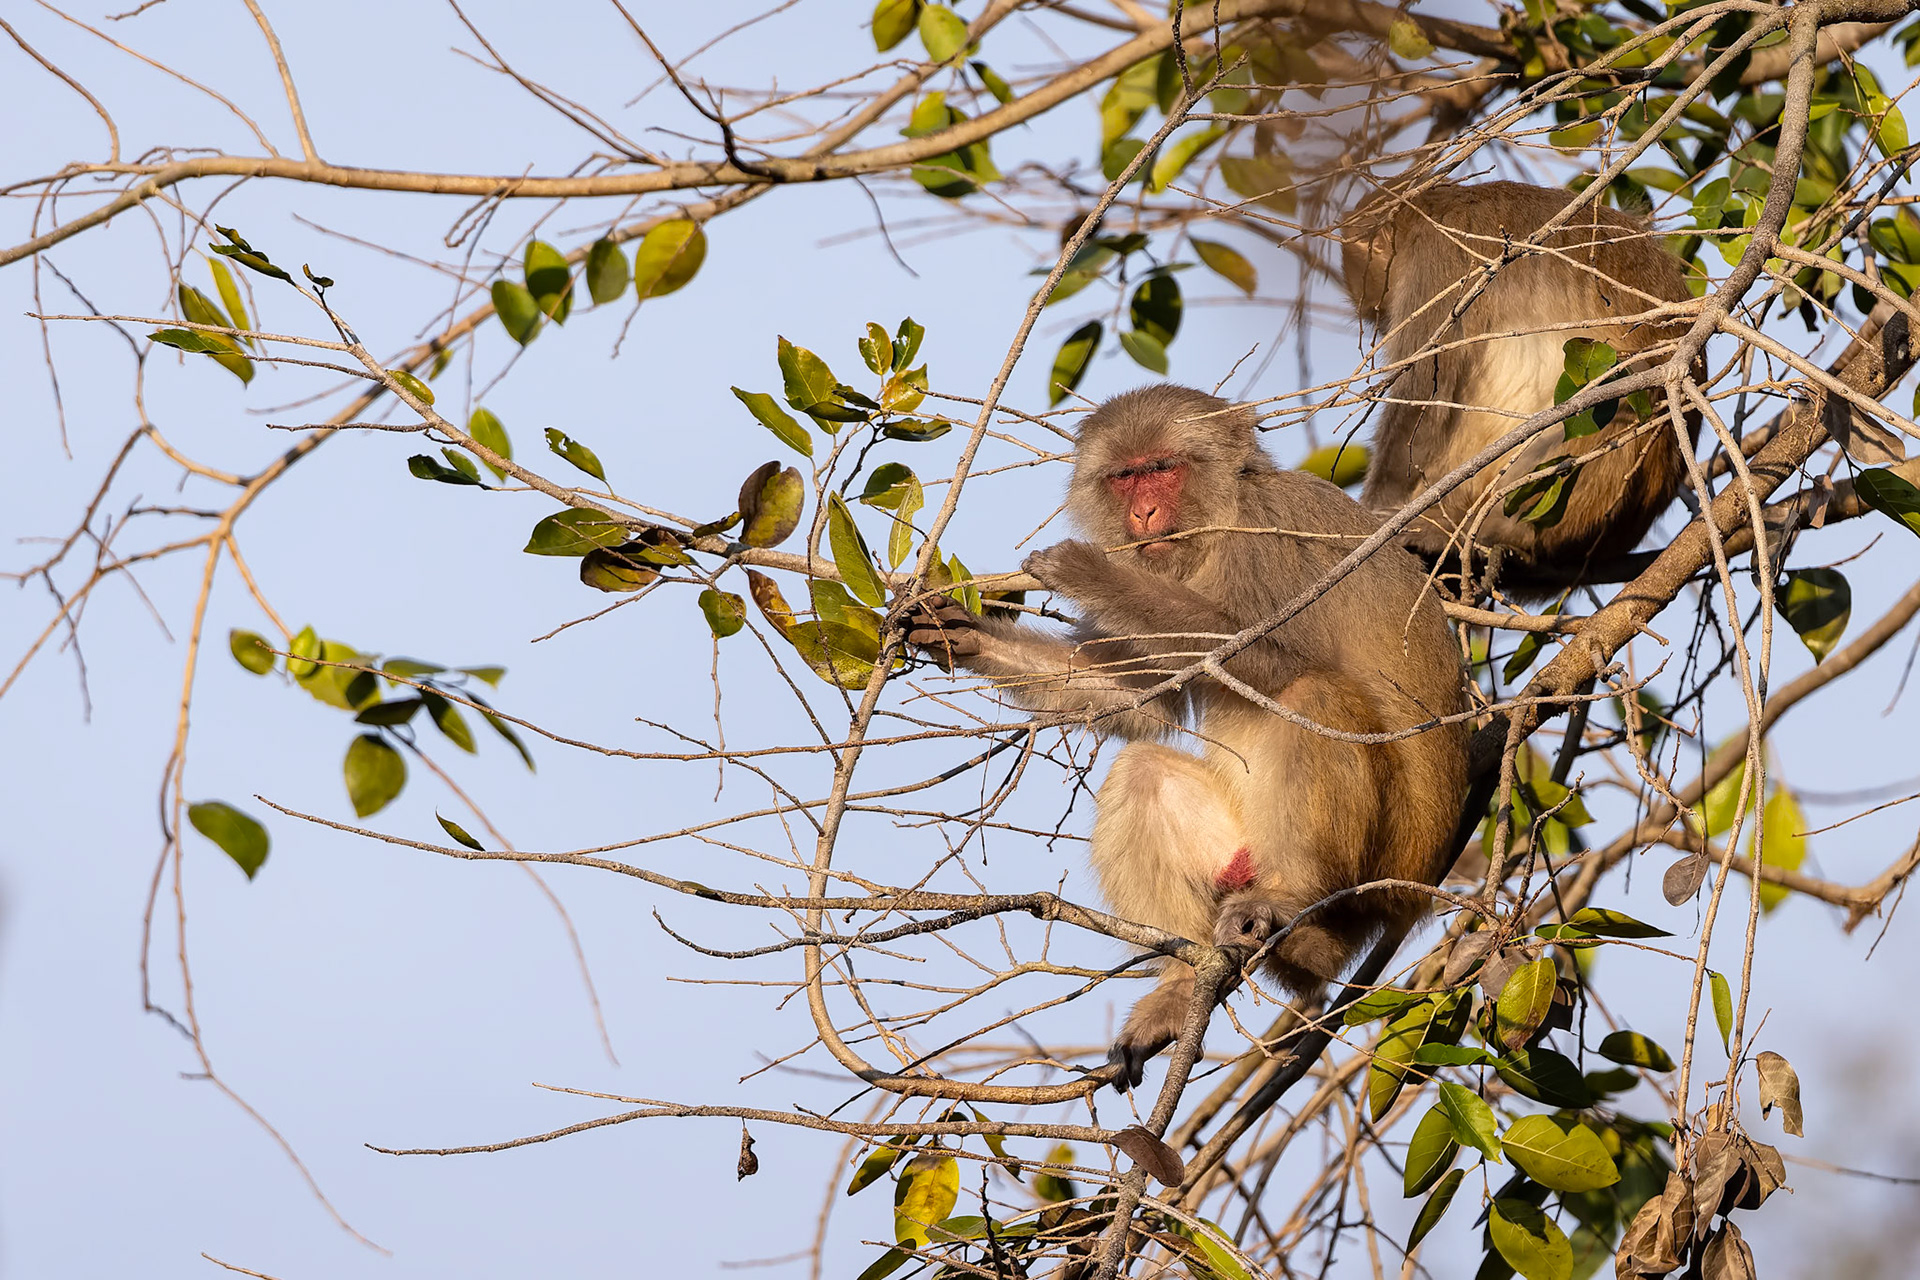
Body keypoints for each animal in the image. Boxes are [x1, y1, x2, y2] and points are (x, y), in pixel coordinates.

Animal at [905, 385, 1470, 1087]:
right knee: (1144, 772)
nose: (1142, 512)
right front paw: (958, 632)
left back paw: (1290, 905)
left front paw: (1087, 571)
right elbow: (1140, 695)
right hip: (1240, 852)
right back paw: (1181, 983)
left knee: (1313, 694)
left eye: (1163, 468)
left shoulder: (1268, 533)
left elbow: (1280, 661)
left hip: (1385, 867)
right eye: (1125, 477)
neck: (1218, 529)